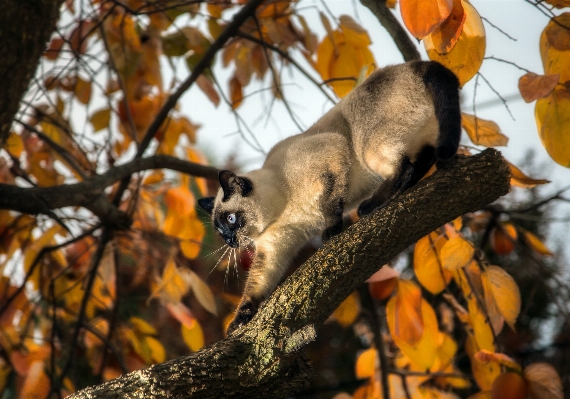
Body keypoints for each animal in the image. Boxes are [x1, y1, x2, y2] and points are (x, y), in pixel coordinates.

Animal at [197, 60, 460, 334]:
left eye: (230, 220)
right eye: (220, 230)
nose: (230, 242)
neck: (282, 208)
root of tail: (418, 64)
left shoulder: (331, 160)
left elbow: (331, 206)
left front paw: (331, 232)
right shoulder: (272, 250)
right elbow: (255, 286)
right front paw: (238, 321)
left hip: (367, 148)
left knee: (405, 167)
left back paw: (371, 206)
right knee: (424, 160)